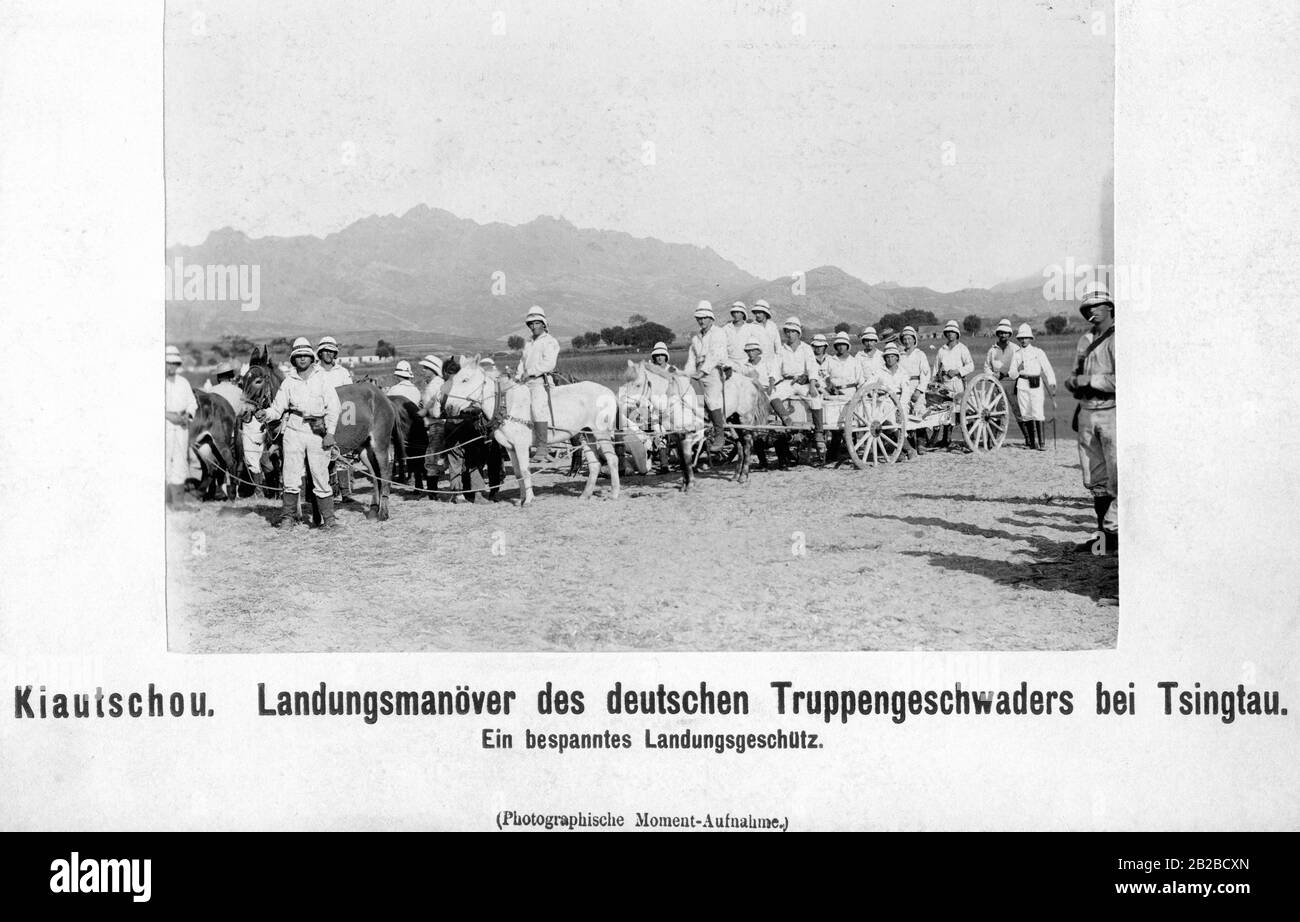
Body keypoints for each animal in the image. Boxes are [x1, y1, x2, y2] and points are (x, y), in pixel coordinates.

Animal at [444, 358, 621, 504]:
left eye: (465, 380)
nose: (449, 407)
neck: (506, 405)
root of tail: (608, 392)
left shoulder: (521, 446)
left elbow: (524, 470)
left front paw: (529, 500)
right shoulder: (510, 448)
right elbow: (518, 473)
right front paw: (521, 498)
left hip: (601, 433)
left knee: (612, 460)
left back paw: (614, 494)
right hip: (586, 435)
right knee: (595, 464)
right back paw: (585, 495)